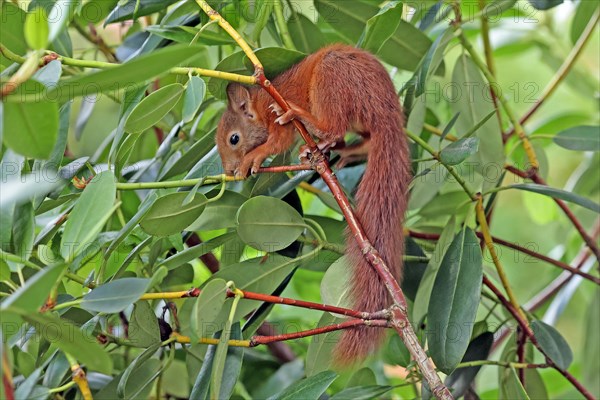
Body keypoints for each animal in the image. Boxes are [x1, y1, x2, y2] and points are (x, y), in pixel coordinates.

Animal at [218, 44, 410, 362]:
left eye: (234, 139)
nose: (229, 171)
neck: (261, 103)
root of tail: (386, 106)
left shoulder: (276, 122)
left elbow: (275, 144)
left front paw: (251, 160)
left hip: (331, 80)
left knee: (334, 126)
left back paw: (307, 122)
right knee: (357, 137)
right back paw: (335, 150)